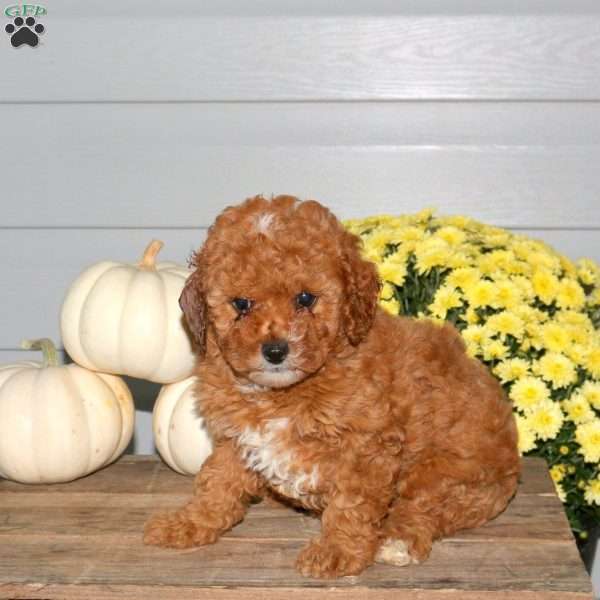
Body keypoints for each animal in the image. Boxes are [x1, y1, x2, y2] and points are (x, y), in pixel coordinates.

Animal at [142, 196, 520, 576]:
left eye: (305, 299)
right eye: (242, 304)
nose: (275, 351)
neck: (280, 394)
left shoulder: (367, 448)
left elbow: (351, 504)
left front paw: (337, 551)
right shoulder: (237, 439)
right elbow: (216, 482)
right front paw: (188, 524)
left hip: (449, 472)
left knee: (425, 507)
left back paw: (398, 540)